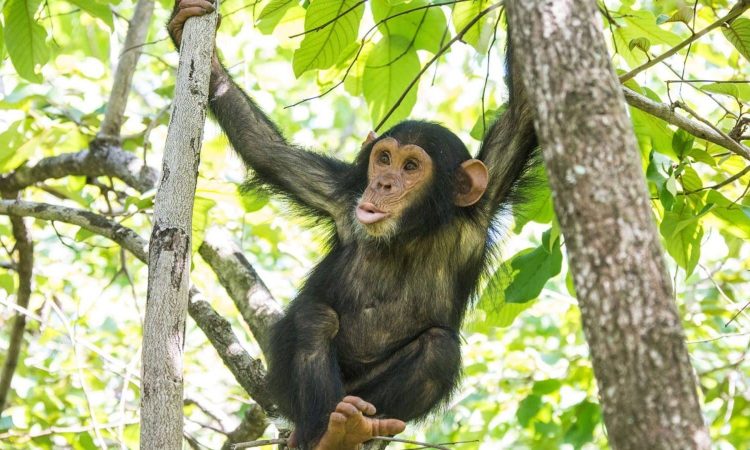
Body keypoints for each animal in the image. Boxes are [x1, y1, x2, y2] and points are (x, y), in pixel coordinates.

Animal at [168, 1, 536, 448]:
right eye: (384, 158)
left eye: (410, 167)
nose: (383, 183)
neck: (410, 234)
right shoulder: (340, 195)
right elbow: (268, 151)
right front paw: (193, 39)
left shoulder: (482, 205)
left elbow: (523, 113)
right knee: (315, 318)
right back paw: (329, 432)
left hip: (364, 393)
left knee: (439, 349)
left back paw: (356, 427)